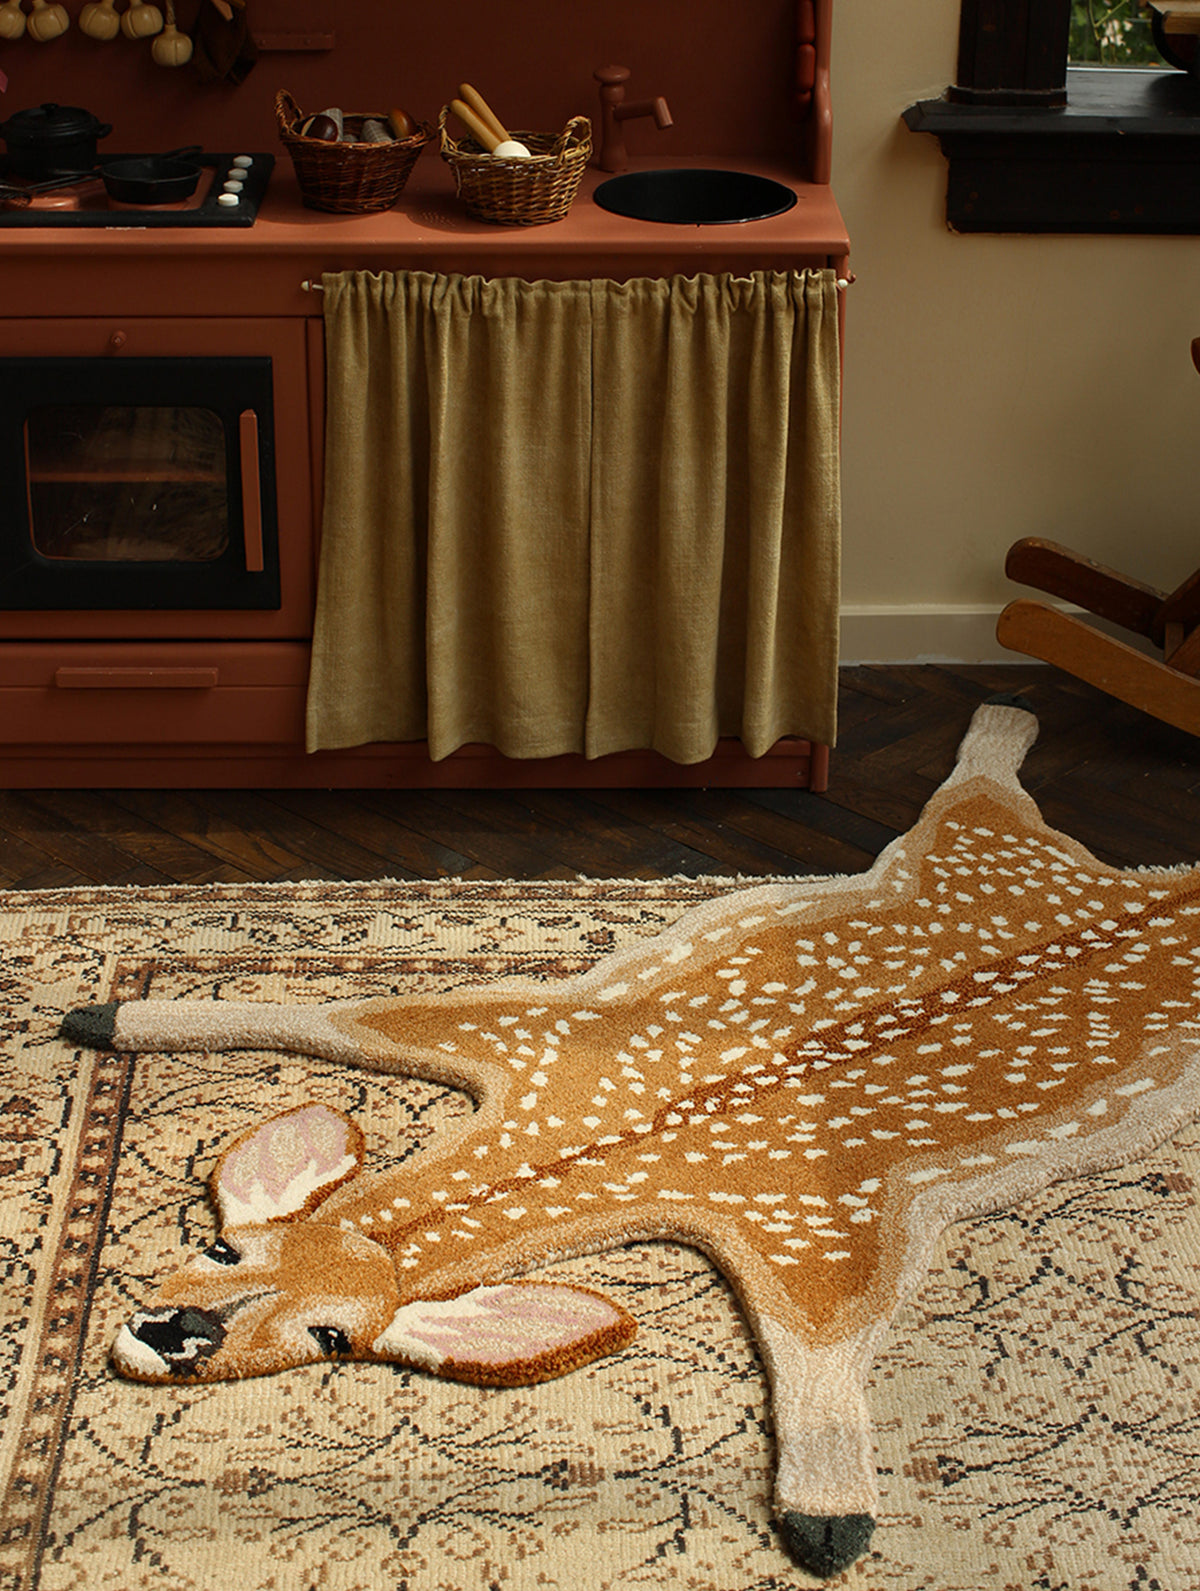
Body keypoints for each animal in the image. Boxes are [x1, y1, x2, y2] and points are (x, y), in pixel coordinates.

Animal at [60, 704, 1200, 1581]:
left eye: (331, 1338)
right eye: (220, 1245)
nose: (173, 1333)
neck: (601, 1138)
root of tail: (1164, 889)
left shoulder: (830, 1218)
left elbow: (819, 1341)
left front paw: (829, 1519)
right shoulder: (527, 1033)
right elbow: (345, 1015)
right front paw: (106, 1016)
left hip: (985, 856)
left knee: (980, 786)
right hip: (965, 852)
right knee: (978, 790)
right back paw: (1007, 714)